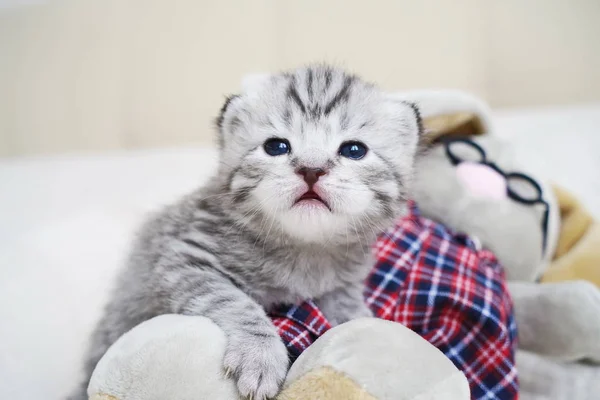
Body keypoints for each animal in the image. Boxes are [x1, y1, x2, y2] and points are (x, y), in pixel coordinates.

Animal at [69, 65, 422, 400]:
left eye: (353, 150)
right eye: (276, 146)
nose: (311, 169)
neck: (305, 250)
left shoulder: (343, 284)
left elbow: (351, 313)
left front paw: (363, 322)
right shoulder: (184, 260)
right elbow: (237, 304)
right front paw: (260, 356)